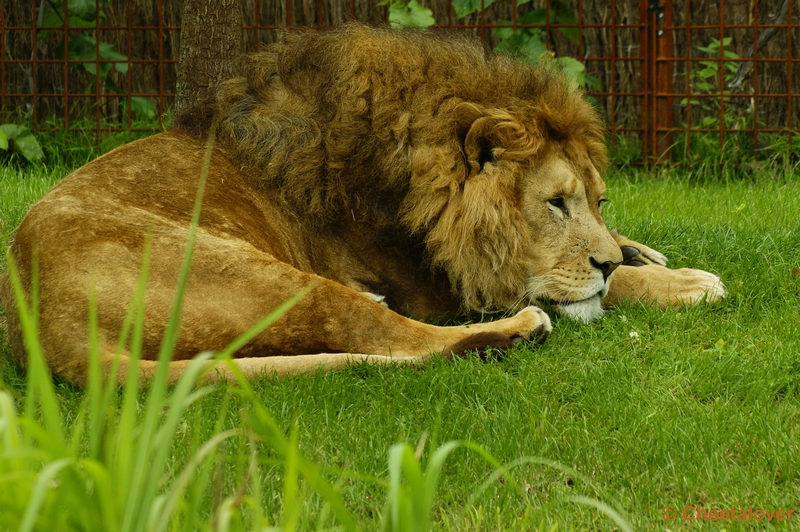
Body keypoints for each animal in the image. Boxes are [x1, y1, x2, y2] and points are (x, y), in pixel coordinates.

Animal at [0, 25, 724, 384]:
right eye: (555, 203)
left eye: (597, 200)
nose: (605, 259)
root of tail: (43, 325)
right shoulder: (432, 281)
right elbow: (581, 290)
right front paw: (680, 281)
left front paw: (639, 253)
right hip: (266, 276)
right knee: (392, 336)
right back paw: (513, 332)